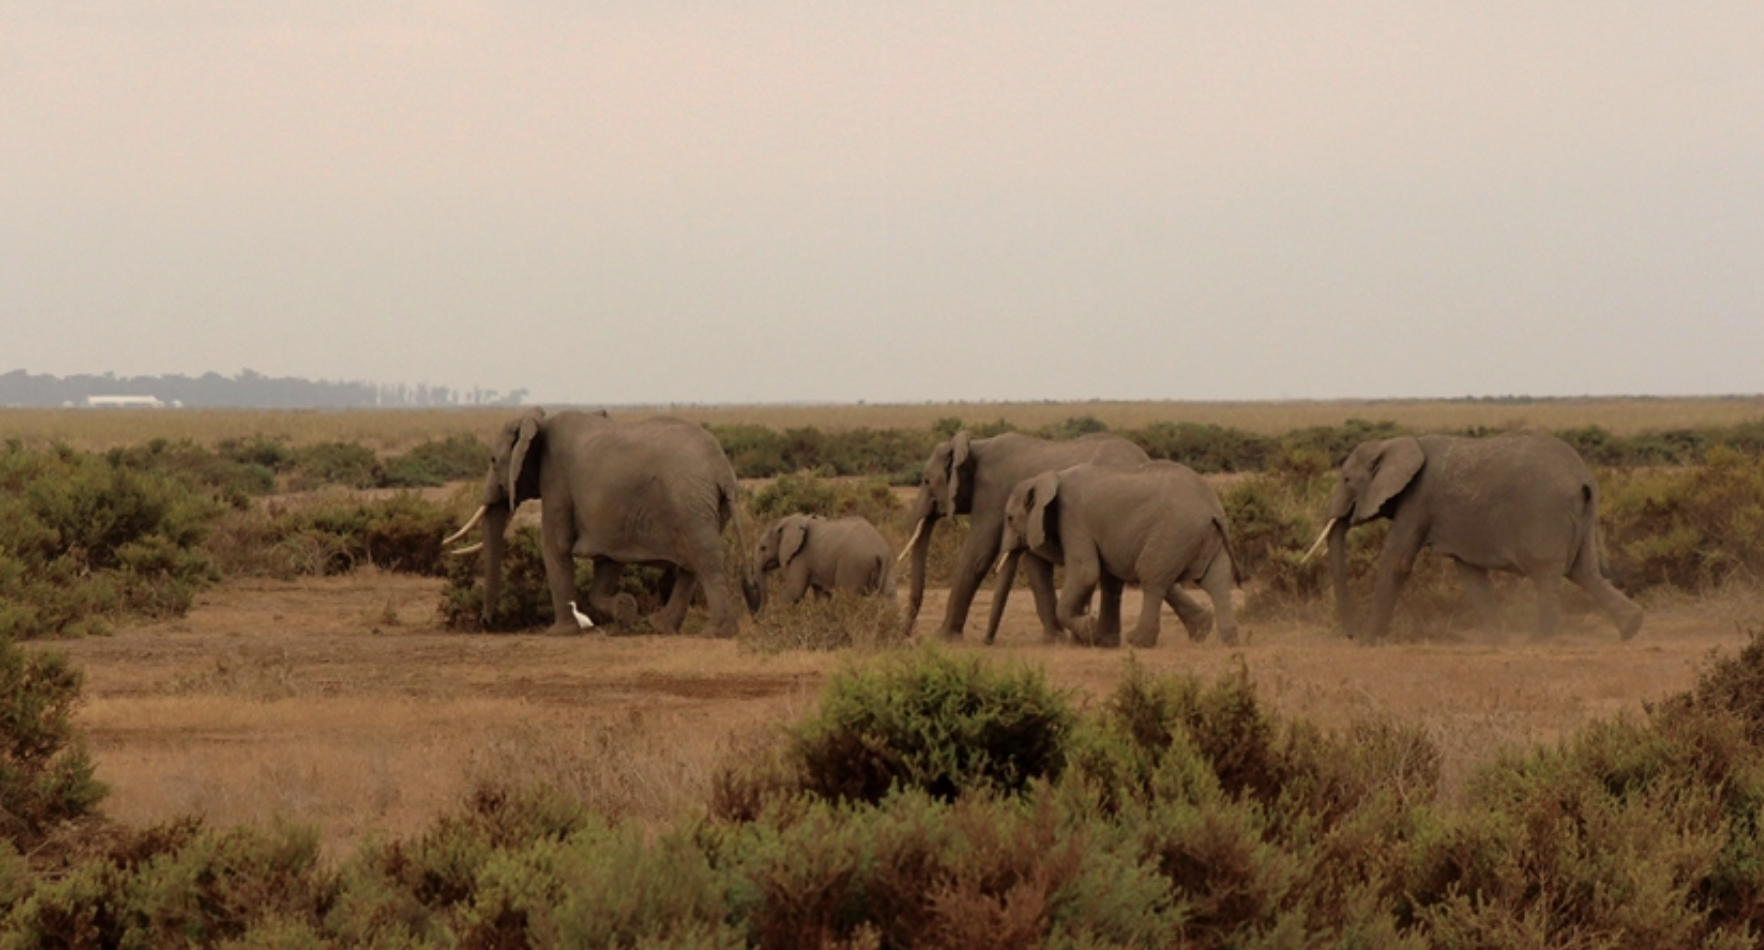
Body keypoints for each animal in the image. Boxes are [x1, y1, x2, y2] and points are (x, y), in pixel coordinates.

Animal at [445, 408, 761, 637]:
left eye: (492, 460)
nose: (486, 623)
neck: (538, 422)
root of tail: (723, 469)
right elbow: (607, 561)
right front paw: (625, 609)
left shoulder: (556, 479)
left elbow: (555, 545)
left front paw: (558, 633)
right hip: (707, 506)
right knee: (691, 567)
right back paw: (660, 626)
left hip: (690, 501)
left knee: (705, 562)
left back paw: (715, 634)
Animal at [753, 514, 896, 607]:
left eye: (763, 548)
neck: (787, 520)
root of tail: (880, 551)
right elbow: (821, 595)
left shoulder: (801, 556)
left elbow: (794, 591)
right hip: (888, 564)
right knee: (891, 596)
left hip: (855, 565)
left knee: (848, 597)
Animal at [900, 430, 1150, 641]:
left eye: (926, 481)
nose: (908, 636)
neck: (975, 445)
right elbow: (1035, 564)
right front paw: (1053, 640)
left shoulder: (992, 494)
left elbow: (978, 554)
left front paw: (942, 638)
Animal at [996, 461, 1240, 648]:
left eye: (1009, 518)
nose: (991, 643)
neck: (1050, 476)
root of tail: (1213, 508)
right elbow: (1109, 577)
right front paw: (1100, 640)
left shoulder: (1073, 520)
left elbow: (1086, 572)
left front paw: (1089, 629)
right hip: (1203, 537)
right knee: (1216, 580)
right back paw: (1221, 638)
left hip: (1174, 532)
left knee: (1152, 577)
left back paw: (1138, 641)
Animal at [1308, 431, 1643, 643]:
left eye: (1346, 479)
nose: (1350, 635)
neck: (1396, 443)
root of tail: (1583, 478)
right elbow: (1470, 572)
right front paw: (1496, 641)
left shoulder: (1418, 500)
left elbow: (1396, 561)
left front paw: (1369, 642)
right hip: (1581, 515)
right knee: (1584, 572)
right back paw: (1631, 628)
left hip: (1546, 513)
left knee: (1548, 573)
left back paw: (1539, 640)